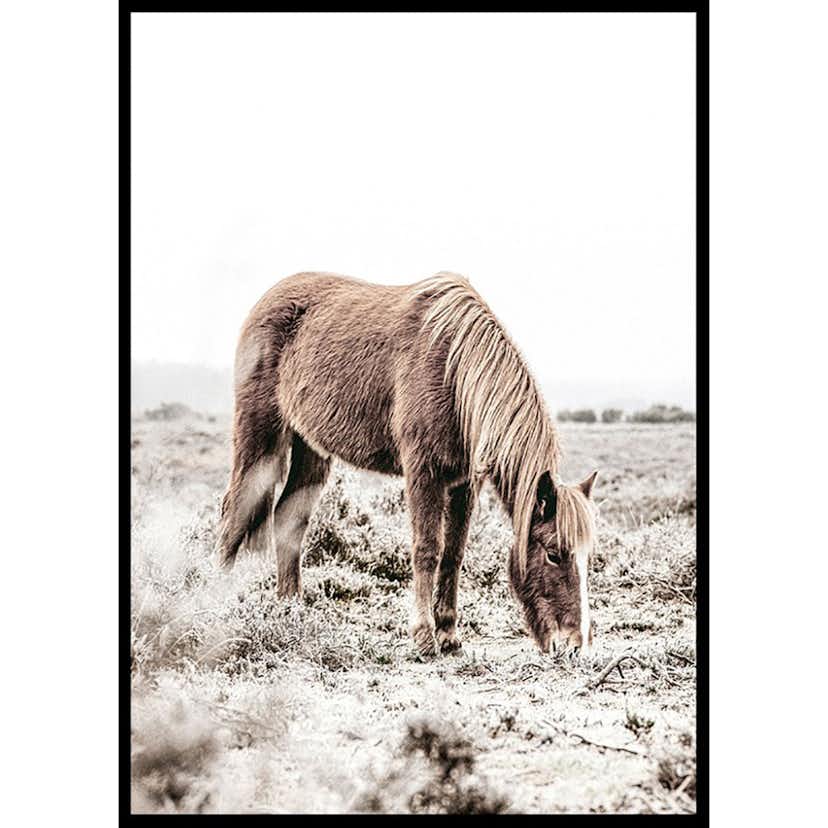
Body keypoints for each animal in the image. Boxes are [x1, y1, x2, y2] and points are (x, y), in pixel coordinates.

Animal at [216, 272, 598, 657]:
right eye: (553, 554)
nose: (573, 645)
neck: (452, 372)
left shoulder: (464, 483)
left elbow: (454, 554)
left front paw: (448, 634)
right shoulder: (422, 472)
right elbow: (427, 549)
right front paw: (424, 637)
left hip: (311, 449)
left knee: (289, 520)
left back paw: (291, 609)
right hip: (260, 438)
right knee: (234, 514)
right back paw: (218, 602)